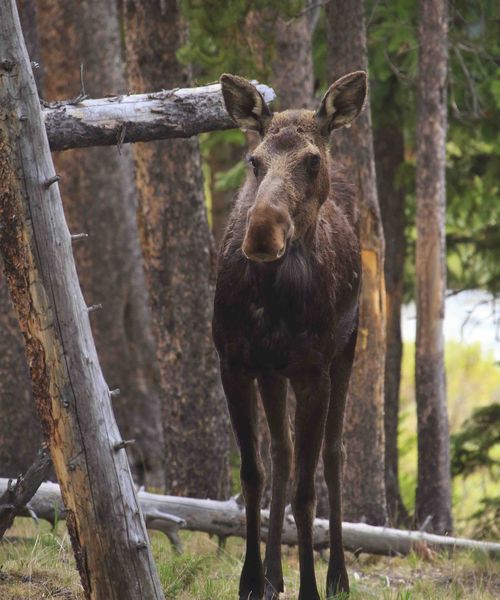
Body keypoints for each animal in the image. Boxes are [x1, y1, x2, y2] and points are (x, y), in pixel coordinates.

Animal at [212, 71, 368, 600]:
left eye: (311, 160)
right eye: (254, 161)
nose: (262, 233)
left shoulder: (312, 372)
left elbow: (306, 490)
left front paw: (311, 589)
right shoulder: (234, 363)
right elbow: (252, 474)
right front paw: (250, 580)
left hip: (347, 349)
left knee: (334, 454)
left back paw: (337, 575)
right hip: (271, 373)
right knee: (280, 453)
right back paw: (274, 574)